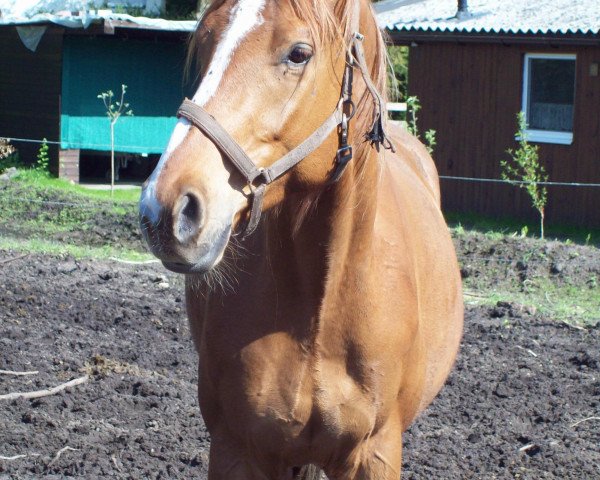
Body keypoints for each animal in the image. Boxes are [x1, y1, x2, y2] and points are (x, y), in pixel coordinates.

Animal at [138, 0, 462, 476]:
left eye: (298, 53)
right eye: (205, 43)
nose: (163, 209)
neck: (320, 307)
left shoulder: (376, 453)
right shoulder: (237, 449)